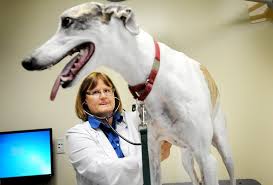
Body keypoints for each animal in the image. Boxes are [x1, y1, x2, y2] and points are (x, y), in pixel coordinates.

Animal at [21, 1, 234, 185]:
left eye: (66, 21)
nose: (26, 61)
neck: (153, 76)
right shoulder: (152, 156)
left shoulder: (206, 159)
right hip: (187, 157)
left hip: (222, 149)